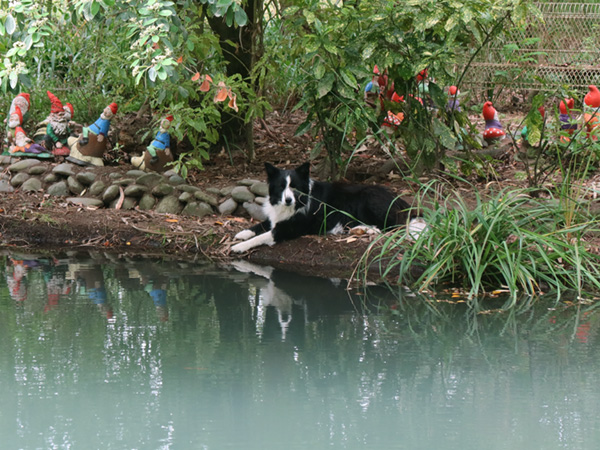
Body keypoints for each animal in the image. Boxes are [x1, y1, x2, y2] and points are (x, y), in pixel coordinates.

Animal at [230, 162, 422, 253]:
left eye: (295, 187)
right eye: (281, 186)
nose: (288, 200)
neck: (297, 203)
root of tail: (398, 199)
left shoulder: (290, 228)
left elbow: (262, 236)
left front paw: (240, 246)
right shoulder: (276, 219)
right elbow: (260, 225)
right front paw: (243, 233)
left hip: (370, 198)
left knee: (393, 226)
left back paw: (367, 229)